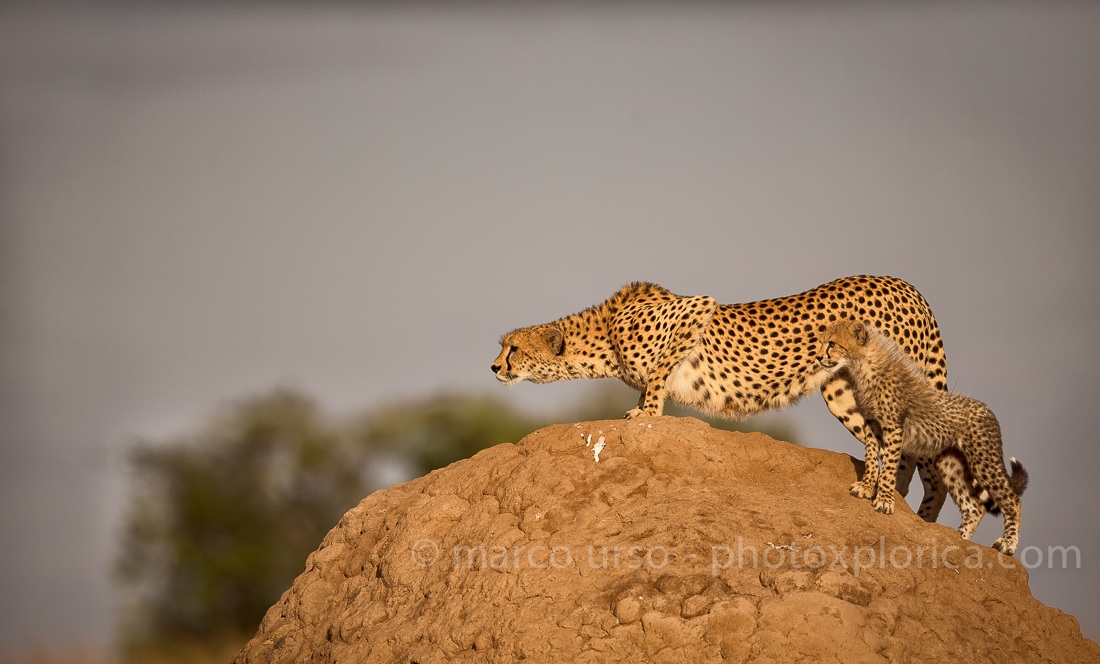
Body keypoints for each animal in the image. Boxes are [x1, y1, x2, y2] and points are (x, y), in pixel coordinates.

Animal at [492, 275, 951, 522]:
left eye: (512, 348)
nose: (494, 367)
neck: (602, 333)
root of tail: (902, 284)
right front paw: (640, 408)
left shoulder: (695, 309)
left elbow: (658, 376)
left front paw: (647, 412)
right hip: (840, 391)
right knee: (885, 443)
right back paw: (878, 490)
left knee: (924, 459)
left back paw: (901, 507)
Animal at [817, 318, 1028, 554]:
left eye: (832, 343)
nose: (819, 357)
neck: (863, 365)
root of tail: (986, 409)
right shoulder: (872, 424)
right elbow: (872, 458)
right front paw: (866, 486)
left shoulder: (893, 427)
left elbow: (889, 466)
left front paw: (884, 500)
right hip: (950, 464)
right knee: (974, 506)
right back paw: (959, 539)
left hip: (983, 462)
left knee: (1012, 499)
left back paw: (1008, 543)